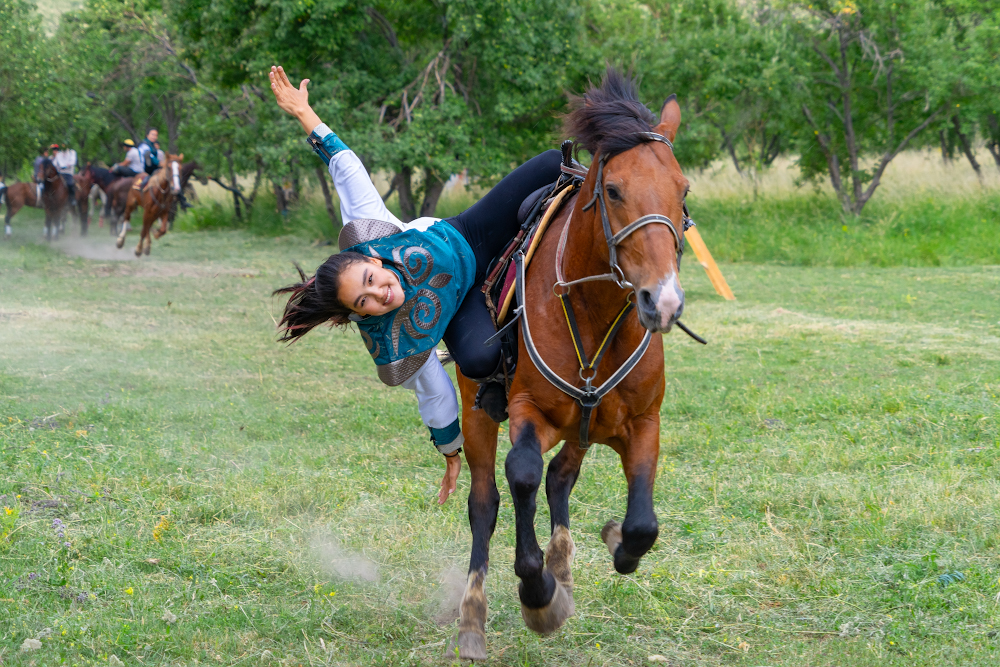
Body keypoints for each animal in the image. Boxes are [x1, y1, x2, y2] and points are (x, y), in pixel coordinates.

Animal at [452, 69, 692, 660]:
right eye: (614, 190)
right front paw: (537, 595)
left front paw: (613, 542)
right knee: (487, 503)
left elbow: (642, 525)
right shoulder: (526, 411)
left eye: (683, 190)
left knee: (562, 476)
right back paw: (475, 616)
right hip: (477, 412)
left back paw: (562, 564)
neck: (593, 308)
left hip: (585, 424)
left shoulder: (643, 422)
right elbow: (520, 476)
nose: (663, 301)